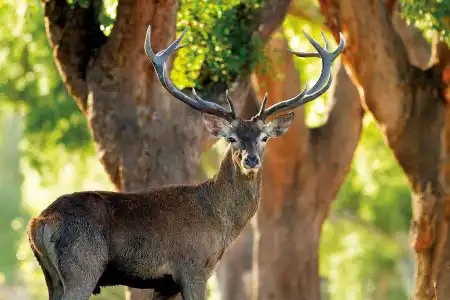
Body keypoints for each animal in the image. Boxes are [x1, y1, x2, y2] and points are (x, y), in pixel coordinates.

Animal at [27, 26, 344, 300]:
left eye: (264, 137)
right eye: (231, 138)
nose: (251, 159)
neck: (220, 225)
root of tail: (40, 222)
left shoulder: (164, 284)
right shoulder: (193, 268)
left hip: (51, 275)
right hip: (82, 267)